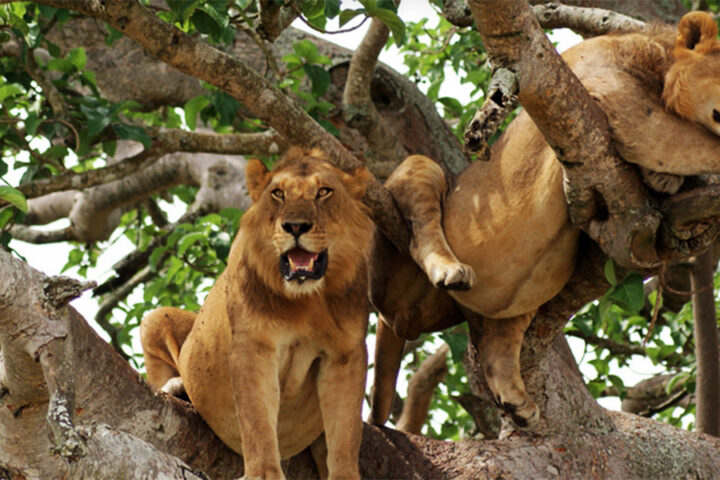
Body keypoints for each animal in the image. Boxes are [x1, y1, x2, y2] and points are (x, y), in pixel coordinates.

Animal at [140, 147, 374, 479]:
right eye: (278, 194)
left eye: (324, 192)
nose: (295, 226)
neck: (306, 301)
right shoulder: (253, 346)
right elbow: (257, 421)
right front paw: (263, 473)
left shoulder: (345, 354)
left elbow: (345, 432)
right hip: (155, 318)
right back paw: (177, 387)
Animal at [369, 11, 720, 429]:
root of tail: (395, 320)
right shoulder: (611, 93)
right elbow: (696, 144)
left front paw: (664, 180)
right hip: (420, 175)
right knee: (421, 229)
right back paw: (450, 270)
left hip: (520, 298)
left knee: (499, 339)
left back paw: (515, 400)